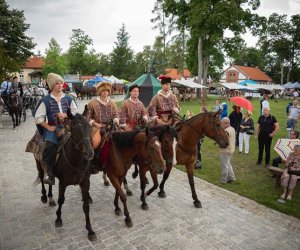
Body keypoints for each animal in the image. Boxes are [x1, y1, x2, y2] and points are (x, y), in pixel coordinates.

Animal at [30, 111, 96, 240]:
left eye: (90, 127)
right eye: (75, 128)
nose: (89, 153)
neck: (76, 160)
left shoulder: (85, 182)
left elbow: (86, 205)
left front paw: (90, 230)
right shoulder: (63, 183)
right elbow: (61, 200)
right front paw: (58, 219)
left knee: (50, 181)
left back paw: (51, 198)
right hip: (39, 164)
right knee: (42, 177)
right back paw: (44, 197)